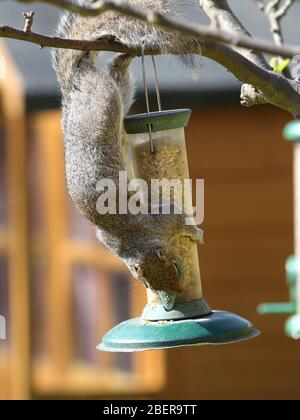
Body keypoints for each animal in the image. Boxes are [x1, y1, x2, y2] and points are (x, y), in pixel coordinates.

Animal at [53, 0, 204, 296]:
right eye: (146, 282)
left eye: (175, 268)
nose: (175, 291)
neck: (133, 242)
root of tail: (73, 85)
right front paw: (195, 233)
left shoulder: (160, 222)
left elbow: (178, 218)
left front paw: (196, 233)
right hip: (113, 94)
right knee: (115, 70)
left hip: (105, 96)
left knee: (113, 70)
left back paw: (126, 50)